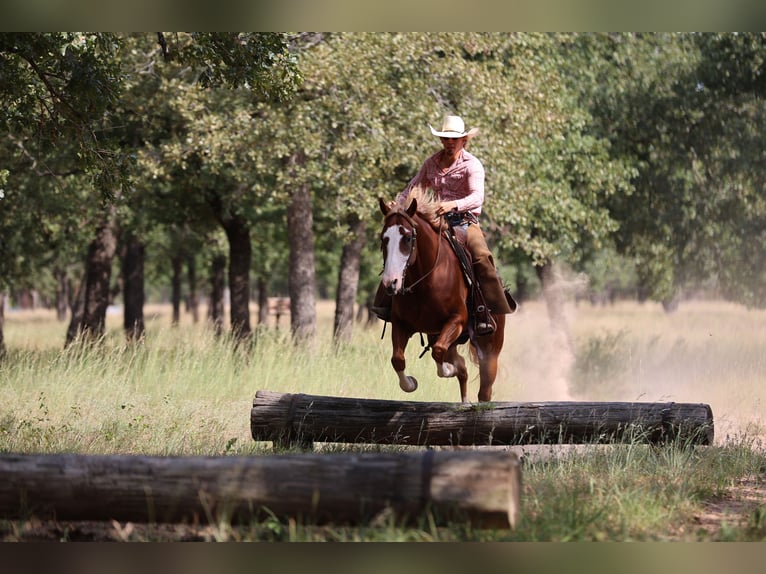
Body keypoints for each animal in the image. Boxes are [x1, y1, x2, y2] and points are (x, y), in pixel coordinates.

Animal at [377, 189, 505, 403]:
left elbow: (438, 353)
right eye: (383, 238)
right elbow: (398, 359)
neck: (425, 282)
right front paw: (410, 383)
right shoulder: (401, 323)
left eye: (408, 238)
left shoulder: (457, 319)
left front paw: (449, 369)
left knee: (484, 390)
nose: (391, 283)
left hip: (490, 351)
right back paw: (464, 401)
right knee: (461, 369)